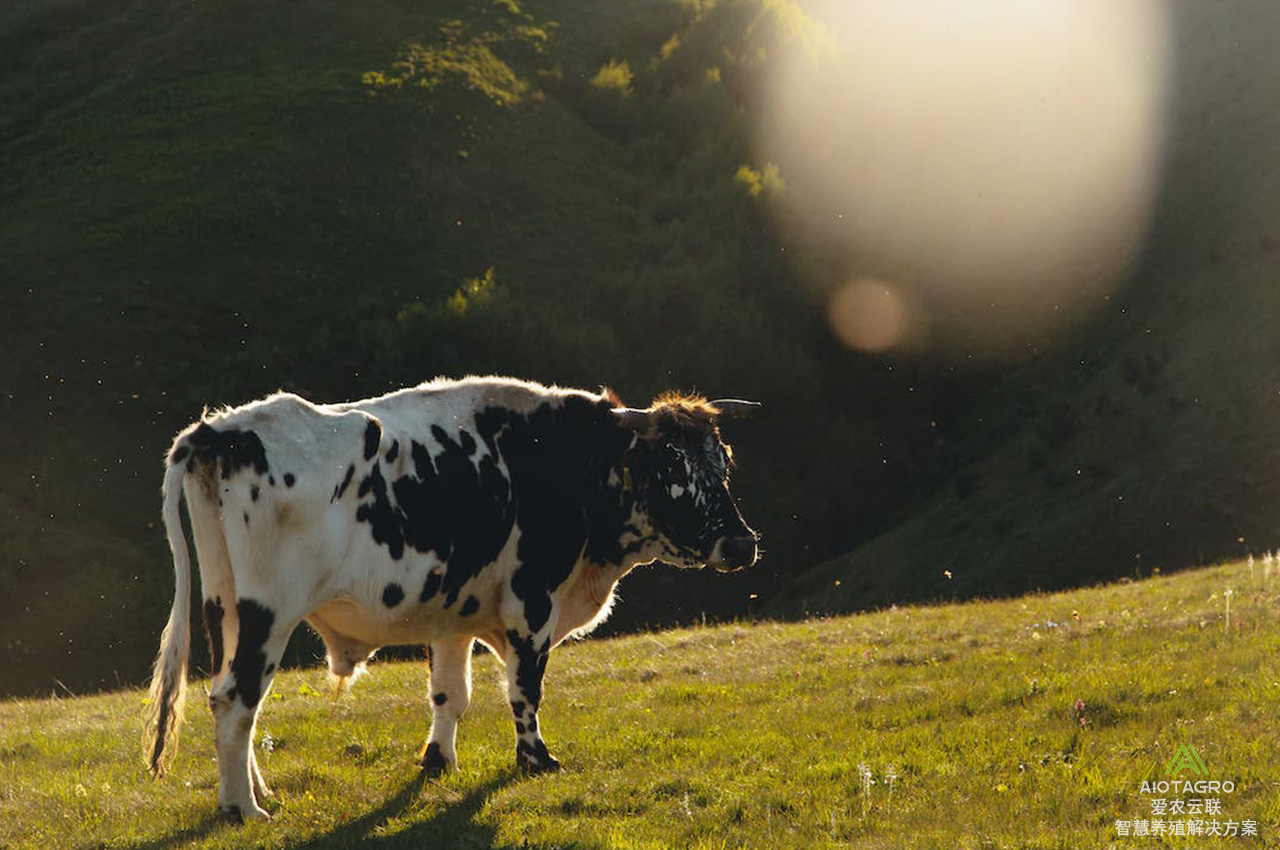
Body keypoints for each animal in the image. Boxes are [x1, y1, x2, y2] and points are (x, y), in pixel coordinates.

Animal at [144, 376, 752, 819]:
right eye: (670, 465)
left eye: (723, 461)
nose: (742, 543)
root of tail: (220, 430)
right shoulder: (531, 604)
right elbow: (525, 689)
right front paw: (535, 760)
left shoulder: (452, 614)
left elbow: (449, 694)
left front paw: (438, 760)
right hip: (267, 615)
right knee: (235, 700)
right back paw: (244, 809)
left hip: (224, 609)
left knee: (230, 702)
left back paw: (257, 792)